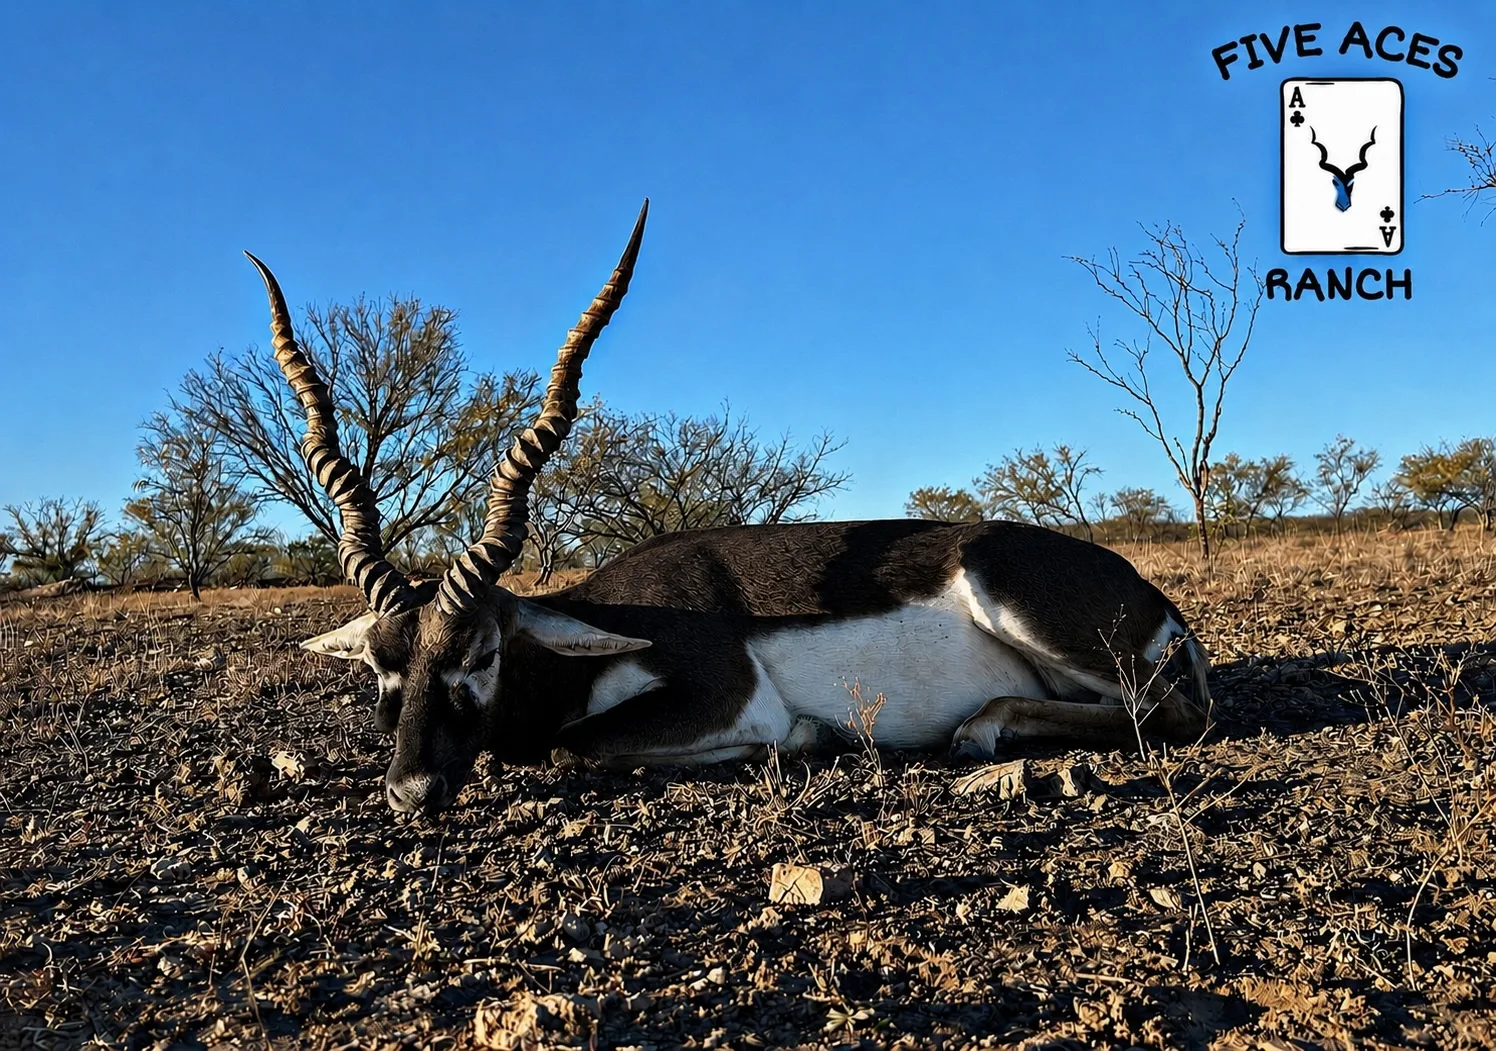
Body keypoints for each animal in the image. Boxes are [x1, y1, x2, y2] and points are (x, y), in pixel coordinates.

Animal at [246, 201, 1211, 816]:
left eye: (482, 652)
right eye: (381, 664)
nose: (411, 792)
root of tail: (1152, 598)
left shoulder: (725, 697)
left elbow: (577, 746)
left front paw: (805, 740)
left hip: (1017, 602)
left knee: (1167, 715)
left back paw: (980, 730)